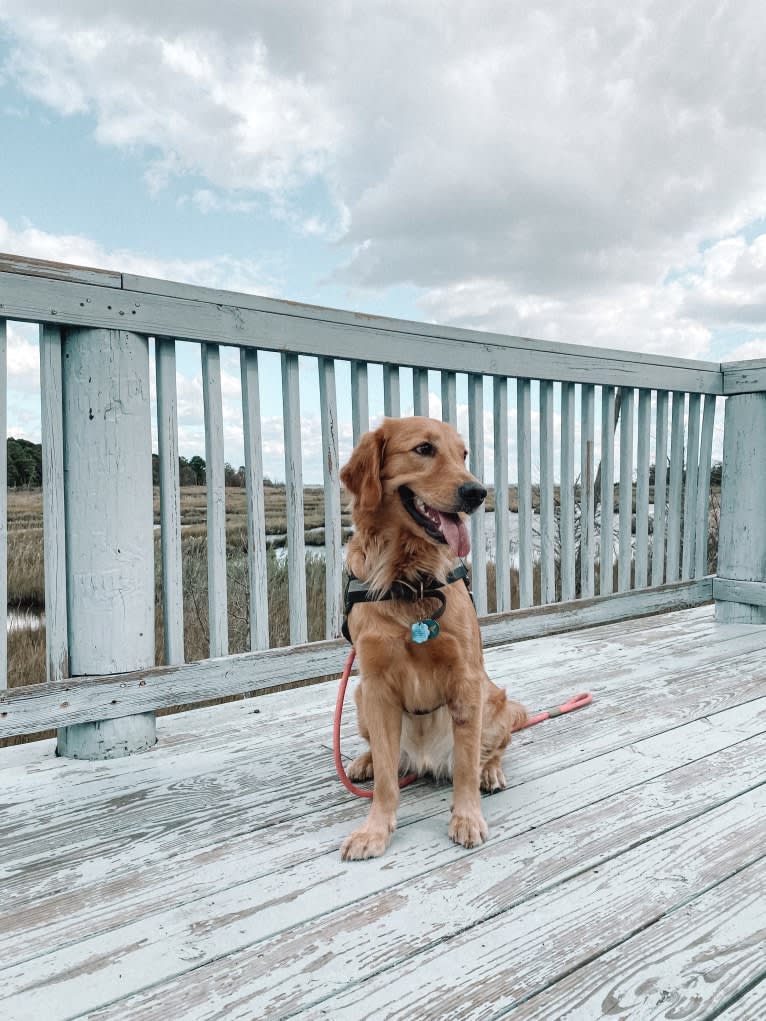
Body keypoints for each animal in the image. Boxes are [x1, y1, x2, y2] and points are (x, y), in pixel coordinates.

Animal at [341, 416, 527, 861]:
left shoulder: (466, 679)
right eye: (424, 449)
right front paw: (375, 830)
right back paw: (364, 761)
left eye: (463, 454)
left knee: (491, 750)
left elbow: (465, 765)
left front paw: (467, 817)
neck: (409, 580)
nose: (476, 493)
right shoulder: (375, 685)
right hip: (359, 697)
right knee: (388, 759)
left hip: (495, 701)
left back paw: (491, 773)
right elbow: (387, 780)